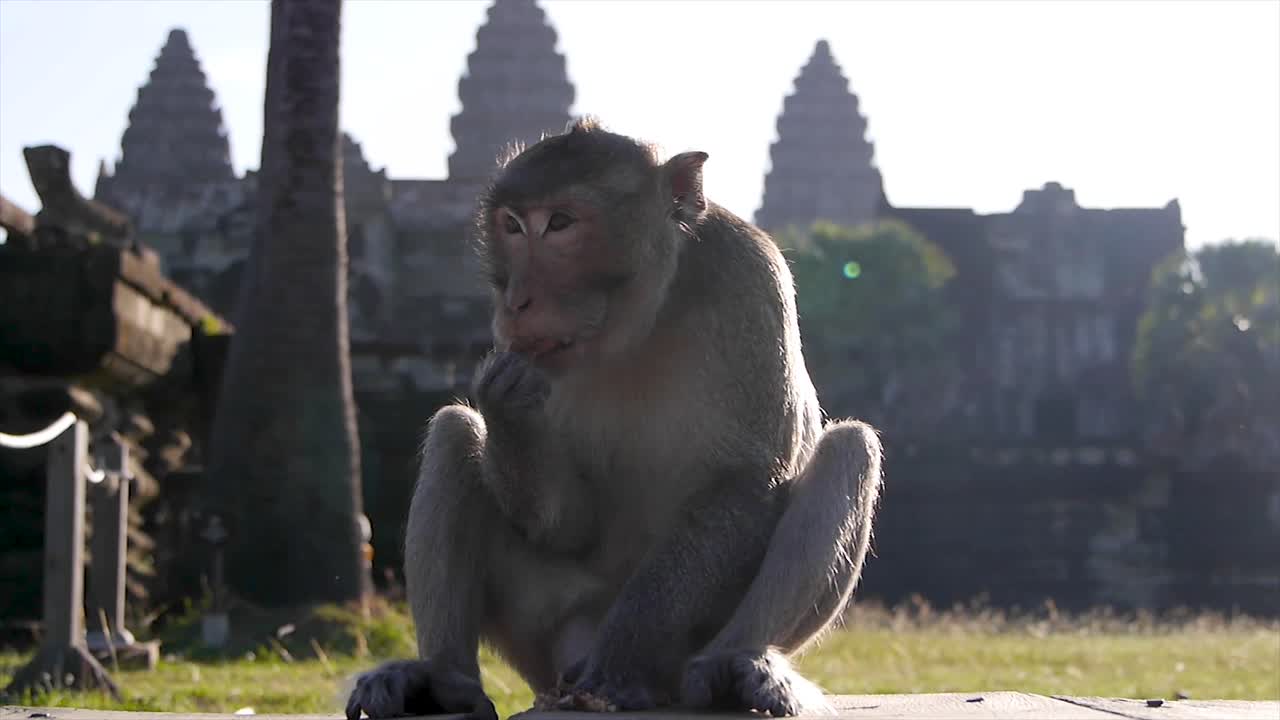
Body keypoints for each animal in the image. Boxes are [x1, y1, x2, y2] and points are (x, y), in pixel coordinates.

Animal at [345, 117, 883, 720]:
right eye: (512, 225)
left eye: (560, 223)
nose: (516, 300)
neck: (638, 323)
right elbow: (567, 527)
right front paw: (505, 406)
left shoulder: (748, 274)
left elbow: (746, 479)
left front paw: (622, 657)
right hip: (547, 633)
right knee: (453, 434)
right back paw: (443, 680)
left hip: (679, 650)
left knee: (849, 448)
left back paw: (735, 665)